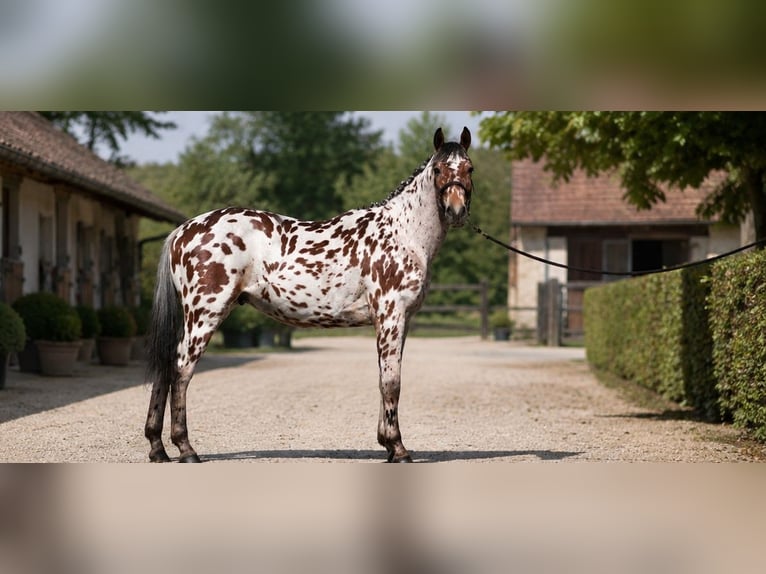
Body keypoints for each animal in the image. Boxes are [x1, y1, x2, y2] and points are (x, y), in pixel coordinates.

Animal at [144, 127, 474, 462]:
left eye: (469, 168)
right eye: (438, 169)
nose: (456, 211)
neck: (402, 234)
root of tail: (183, 230)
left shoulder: (398, 321)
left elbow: (384, 378)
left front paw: (387, 443)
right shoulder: (391, 316)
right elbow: (392, 382)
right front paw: (398, 447)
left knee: (165, 367)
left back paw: (158, 448)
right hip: (205, 314)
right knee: (181, 370)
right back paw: (185, 448)